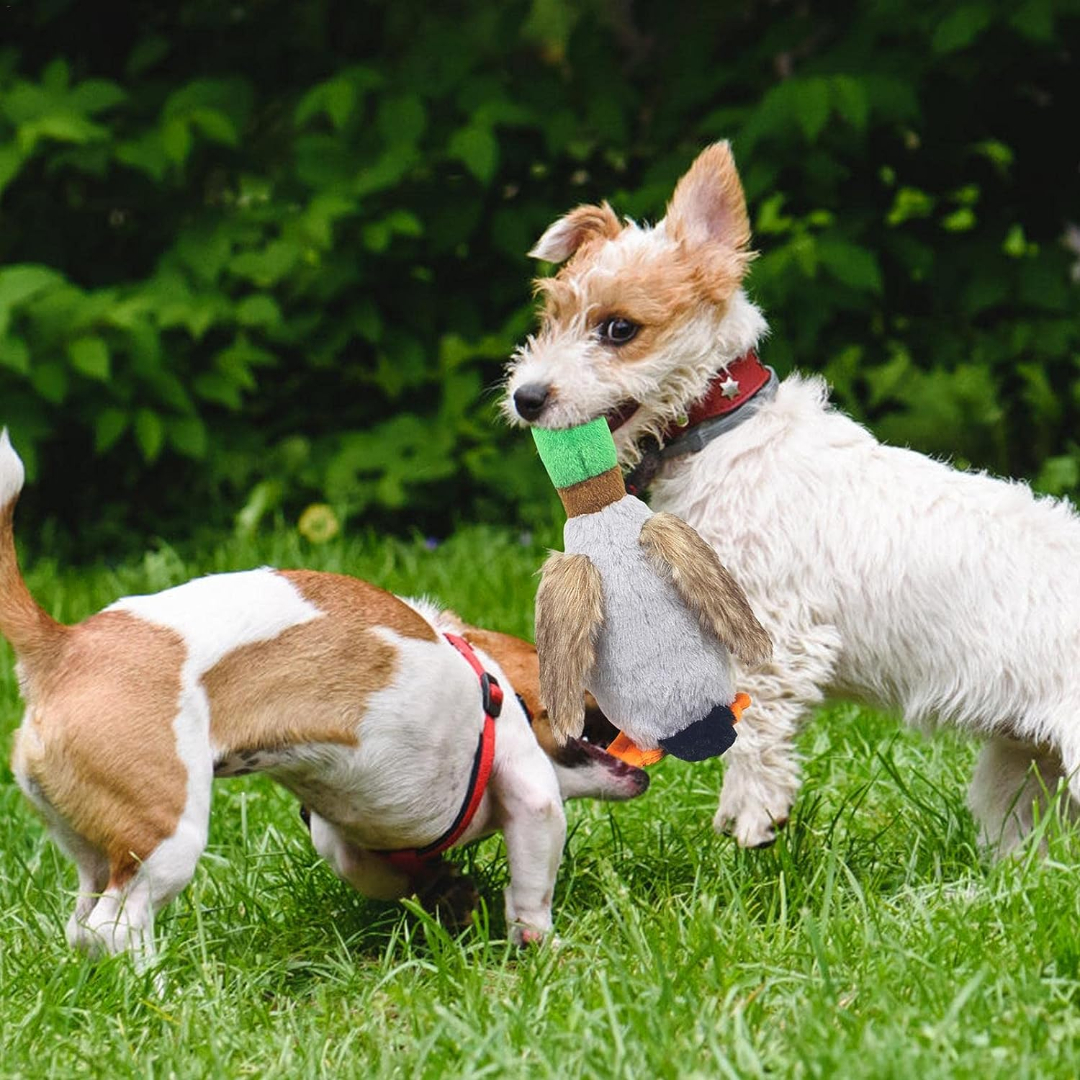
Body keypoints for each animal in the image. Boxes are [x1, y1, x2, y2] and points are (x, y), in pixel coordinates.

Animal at [0, 427, 648, 963]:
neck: (490, 680)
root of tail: (61, 646)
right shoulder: (532, 794)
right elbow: (532, 887)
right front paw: (539, 942)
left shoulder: (344, 842)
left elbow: (390, 877)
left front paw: (449, 893)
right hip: (167, 834)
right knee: (116, 925)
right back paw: (155, 988)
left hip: (91, 846)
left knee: (82, 924)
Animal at [503, 141, 1080, 851]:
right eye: (549, 318)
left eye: (618, 330)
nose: (525, 397)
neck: (719, 436)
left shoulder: (775, 632)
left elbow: (753, 732)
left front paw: (751, 817)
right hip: (1020, 767)